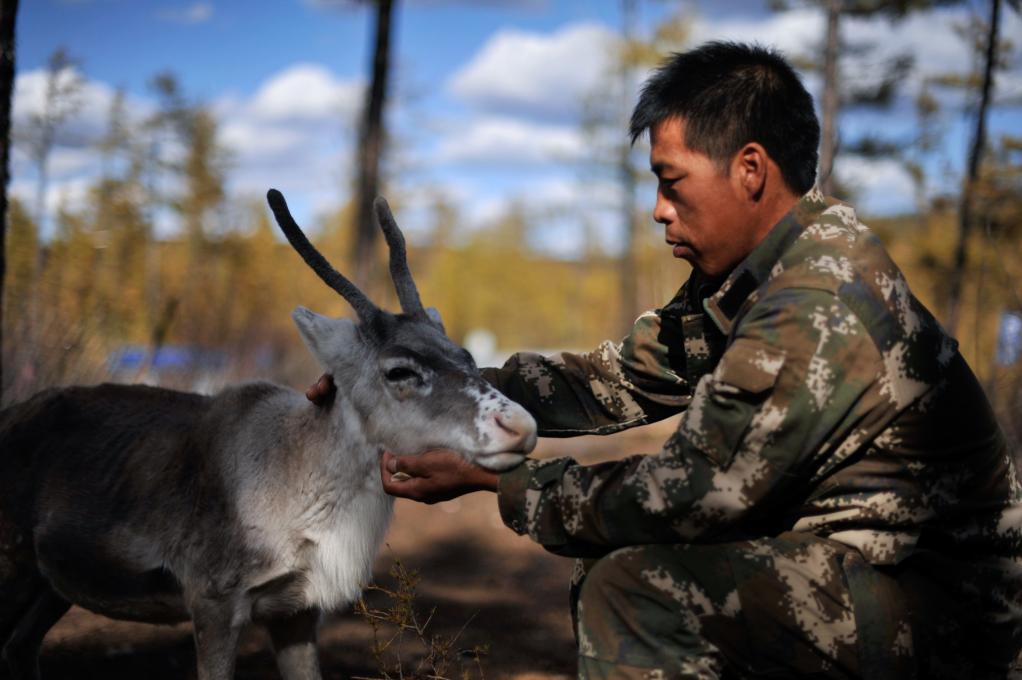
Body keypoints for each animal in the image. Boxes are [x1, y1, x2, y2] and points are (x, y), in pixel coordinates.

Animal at [0, 189, 538, 680]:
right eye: (399, 370)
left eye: (467, 355)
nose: (521, 424)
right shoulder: (212, 598)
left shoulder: (297, 610)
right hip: (16, 563)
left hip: (49, 583)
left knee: (20, 647)